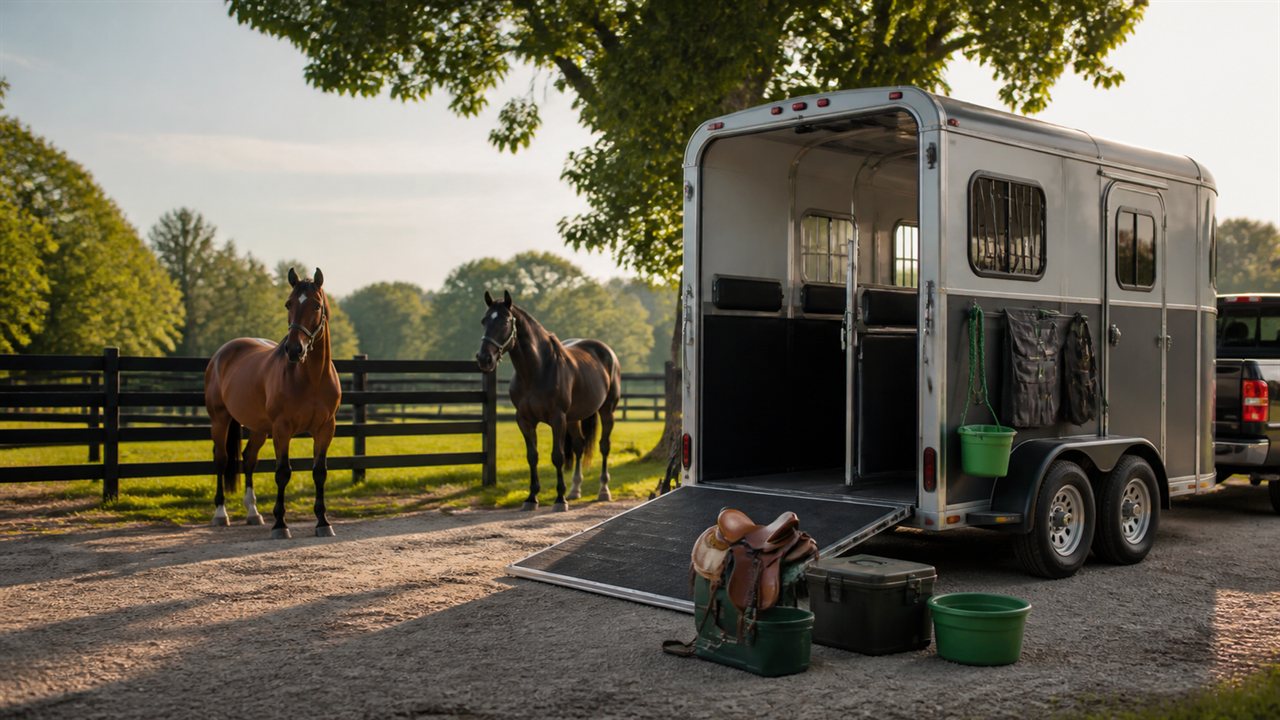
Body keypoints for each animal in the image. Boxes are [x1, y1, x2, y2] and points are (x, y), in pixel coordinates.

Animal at [203, 267, 342, 539]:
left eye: (316, 305)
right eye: (288, 303)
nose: (294, 349)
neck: (311, 378)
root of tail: (221, 354)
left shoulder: (325, 429)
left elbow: (319, 472)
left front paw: (323, 522)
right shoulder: (282, 428)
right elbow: (282, 472)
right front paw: (280, 524)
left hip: (258, 428)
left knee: (249, 458)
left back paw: (252, 512)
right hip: (220, 420)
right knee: (222, 459)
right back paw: (220, 514)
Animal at [475, 290, 621, 511]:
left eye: (506, 321)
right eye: (484, 321)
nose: (484, 359)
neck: (537, 370)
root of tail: (607, 352)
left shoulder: (557, 418)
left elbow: (557, 456)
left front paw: (559, 499)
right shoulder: (524, 420)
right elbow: (532, 456)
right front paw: (531, 497)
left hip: (607, 411)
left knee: (604, 445)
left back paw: (603, 490)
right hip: (574, 418)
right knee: (579, 446)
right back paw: (575, 489)